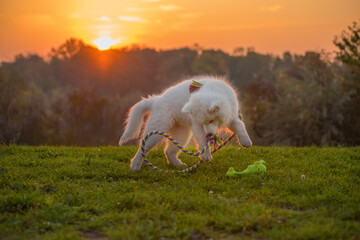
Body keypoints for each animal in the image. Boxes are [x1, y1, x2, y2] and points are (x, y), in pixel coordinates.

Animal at [119, 76, 252, 172]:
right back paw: (135, 166)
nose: (209, 135)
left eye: (210, 121)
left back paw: (178, 166)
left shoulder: (232, 116)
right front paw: (206, 155)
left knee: (169, 151)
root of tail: (156, 100)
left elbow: (240, 125)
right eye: (204, 122)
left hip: (182, 134)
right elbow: (202, 140)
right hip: (157, 131)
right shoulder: (196, 125)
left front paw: (246, 141)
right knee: (143, 147)